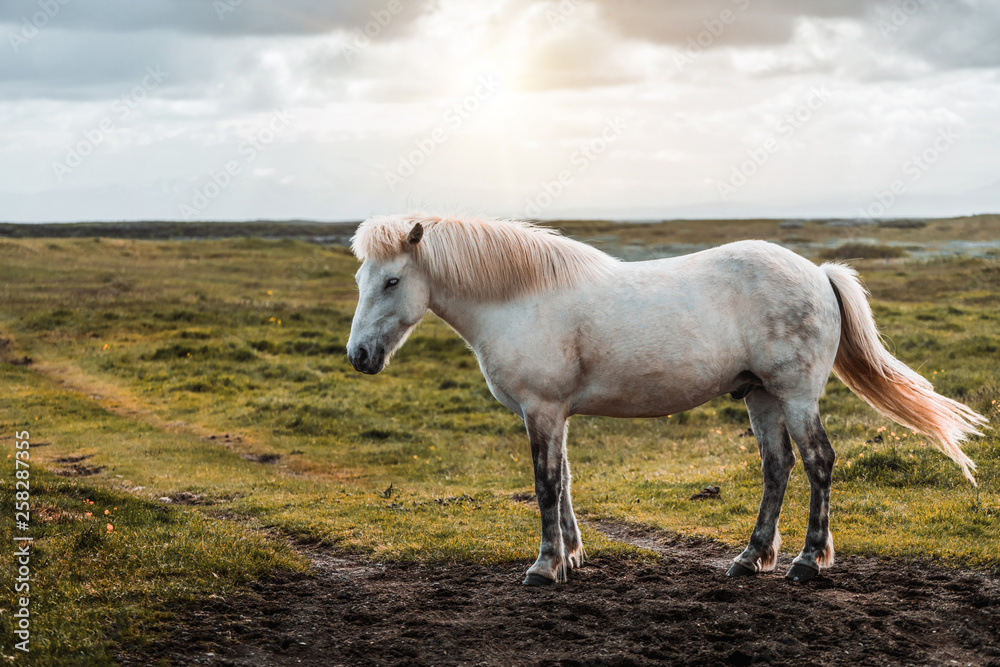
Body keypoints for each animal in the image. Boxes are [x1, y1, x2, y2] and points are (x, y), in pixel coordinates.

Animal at [346, 214, 984, 584]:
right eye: (361, 280)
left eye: (392, 281)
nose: (359, 356)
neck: (521, 298)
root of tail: (818, 272)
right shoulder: (556, 414)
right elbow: (566, 480)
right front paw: (572, 556)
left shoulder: (542, 410)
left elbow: (546, 484)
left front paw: (545, 566)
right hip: (761, 397)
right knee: (777, 468)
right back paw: (751, 558)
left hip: (795, 395)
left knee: (818, 462)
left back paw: (807, 561)